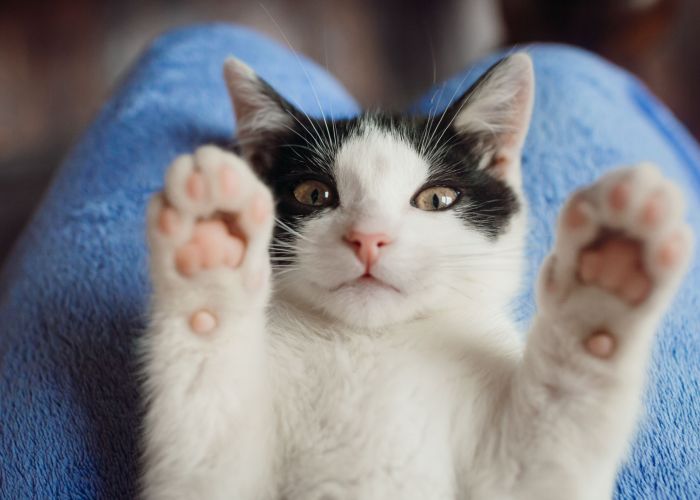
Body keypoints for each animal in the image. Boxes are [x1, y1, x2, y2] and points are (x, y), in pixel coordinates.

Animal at [139, 52, 692, 498]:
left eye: (437, 199)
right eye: (313, 194)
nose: (369, 238)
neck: (368, 341)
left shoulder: (521, 480)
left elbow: (547, 451)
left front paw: (608, 277)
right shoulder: (217, 478)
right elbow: (207, 457)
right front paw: (210, 248)